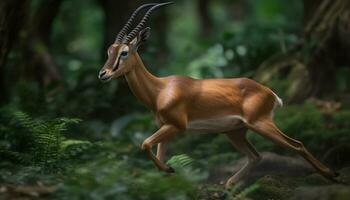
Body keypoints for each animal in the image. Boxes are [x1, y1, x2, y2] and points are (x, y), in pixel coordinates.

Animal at [97, 2, 338, 187]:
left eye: (124, 52)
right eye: (109, 50)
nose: (103, 74)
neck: (160, 90)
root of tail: (269, 92)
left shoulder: (176, 126)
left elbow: (144, 144)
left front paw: (171, 169)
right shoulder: (166, 128)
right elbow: (155, 154)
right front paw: (168, 170)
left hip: (260, 124)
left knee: (296, 145)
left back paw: (330, 174)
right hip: (235, 132)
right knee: (256, 156)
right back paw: (229, 186)